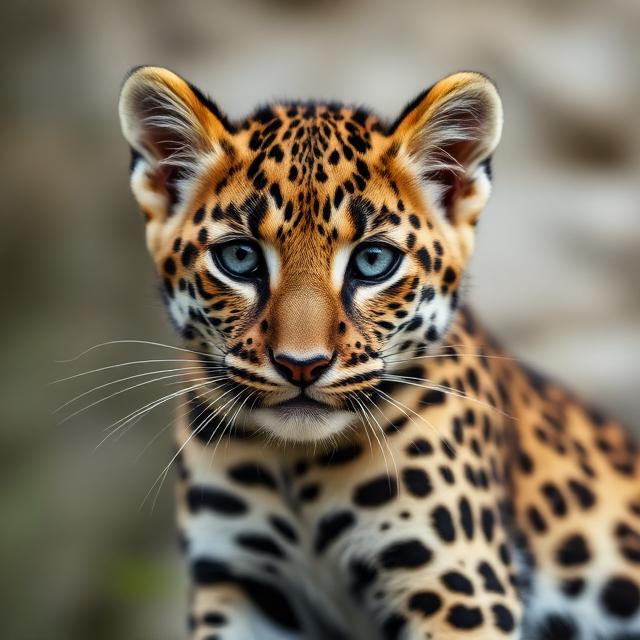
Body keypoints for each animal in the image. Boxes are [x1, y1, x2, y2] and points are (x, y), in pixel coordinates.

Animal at [117, 66, 640, 639]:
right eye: (239, 257)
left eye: (372, 262)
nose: (302, 366)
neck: (294, 470)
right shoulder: (237, 581)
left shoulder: (457, 585)